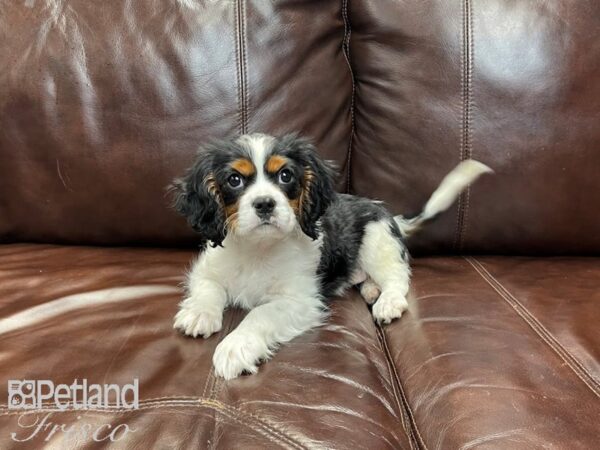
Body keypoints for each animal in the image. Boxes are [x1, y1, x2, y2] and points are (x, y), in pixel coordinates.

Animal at [170, 134, 492, 380]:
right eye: (234, 180)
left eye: (286, 176)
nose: (264, 204)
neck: (258, 249)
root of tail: (391, 216)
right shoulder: (207, 270)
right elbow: (208, 288)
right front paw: (199, 314)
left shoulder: (299, 300)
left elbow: (259, 314)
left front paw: (236, 346)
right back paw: (370, 289)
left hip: (377, 240)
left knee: (398, 277)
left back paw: (387, 300)